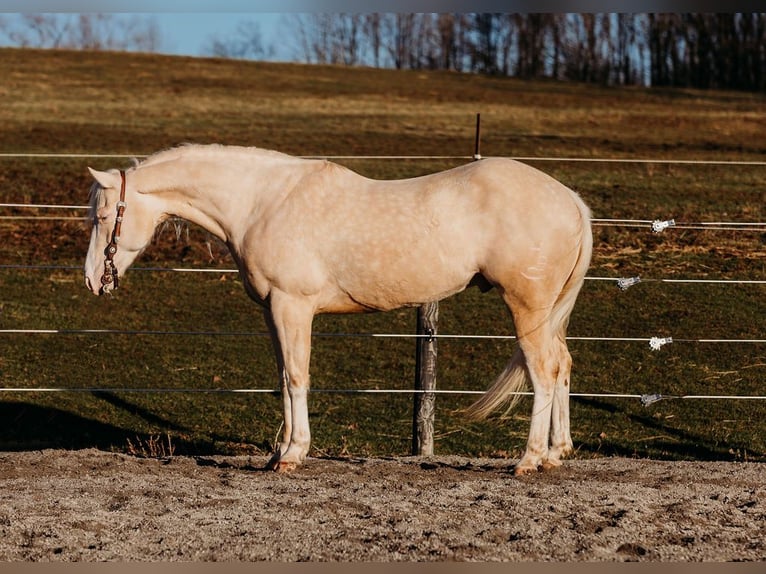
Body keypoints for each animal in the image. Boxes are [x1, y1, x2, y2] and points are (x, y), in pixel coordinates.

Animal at [84, 144, 592, 475]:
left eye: (103, 216)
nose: (92, 280)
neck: (262, 203)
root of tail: (571, 200)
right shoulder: (273, 311)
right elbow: (282, 378)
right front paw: (279, 452)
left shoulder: (292, 306)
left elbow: (297, 377)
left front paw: (293, 454)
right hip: (547, 314)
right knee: (563, 364)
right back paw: (556, 453)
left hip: (526, 308)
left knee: (544, 371)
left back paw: (529, 459)